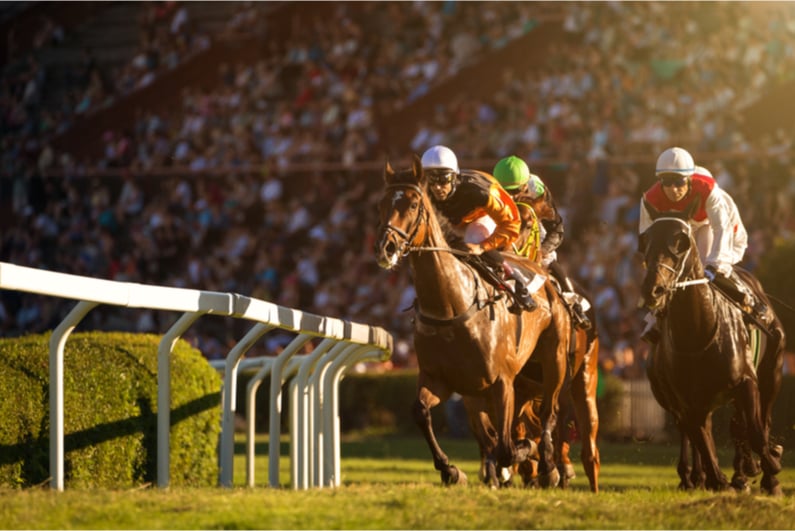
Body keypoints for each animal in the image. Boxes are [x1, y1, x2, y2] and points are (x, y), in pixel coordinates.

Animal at [374, 155, 568, 486]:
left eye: (412, 204)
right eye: (383, 204)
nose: (386, 248)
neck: (451, 306)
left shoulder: (502, 382)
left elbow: (506, 448)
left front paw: (523, 454)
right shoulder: (441, 379)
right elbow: (420, 411)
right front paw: (451, 469)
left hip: (554, 360)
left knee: (548, 414)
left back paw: (548, 467)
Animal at [636, 207, 788, 494]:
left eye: (681, 242)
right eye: (645, 242)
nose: (654, 289)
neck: (698, 332)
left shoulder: (747, 381)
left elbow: (755, 430)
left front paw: (769, 469)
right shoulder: (687, 401)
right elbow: (703, 440)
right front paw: (718, 479)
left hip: (772, 371)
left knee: (759, 421)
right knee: (702, 431)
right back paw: (700, 476)